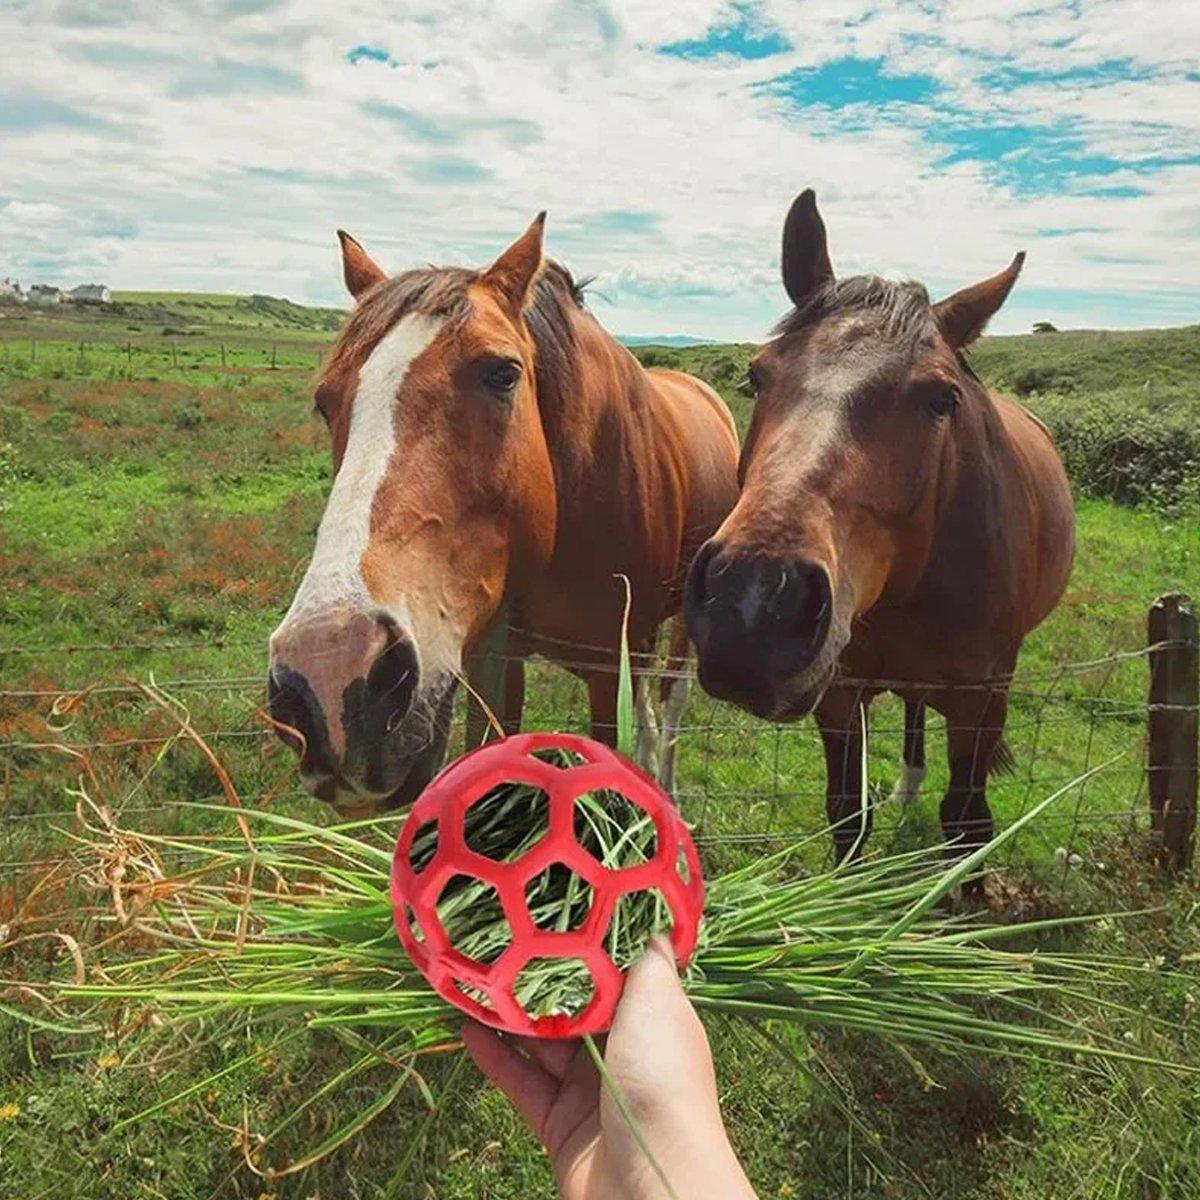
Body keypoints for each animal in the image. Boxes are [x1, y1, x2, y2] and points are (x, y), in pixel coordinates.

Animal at [270, 213, 739, 816]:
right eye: (325, 402)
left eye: (503, 373)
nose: (328, 672)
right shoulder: (493, 666)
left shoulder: (607, 669)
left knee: (671, 701)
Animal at [686, 187, 1080, 864]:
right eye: (755, 377)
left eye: (942, 399)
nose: (755, 604)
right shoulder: (840, 696)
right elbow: (848, 817)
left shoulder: (981, 704)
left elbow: (968, 823)